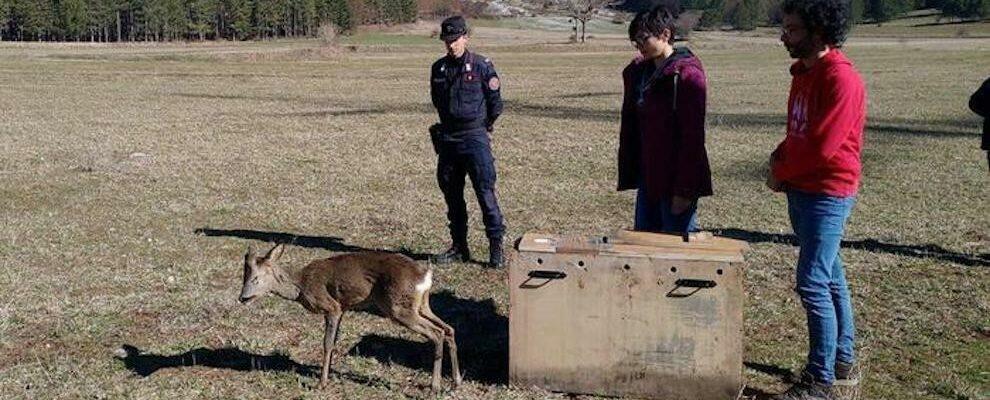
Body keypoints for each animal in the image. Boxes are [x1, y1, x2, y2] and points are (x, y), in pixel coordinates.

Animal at [238, 244, 464, 390]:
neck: (301, 286)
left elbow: (327, 343)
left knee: (436, 333)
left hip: (399, 308)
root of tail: (425, 275)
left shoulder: (332, 306)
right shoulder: (343, 307)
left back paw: (434, 387)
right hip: (421, 305)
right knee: (449, 328)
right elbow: (334, 342)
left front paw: (322, 383)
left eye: (256, 278)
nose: (242, 298)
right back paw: (455, 382)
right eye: (244, 277)